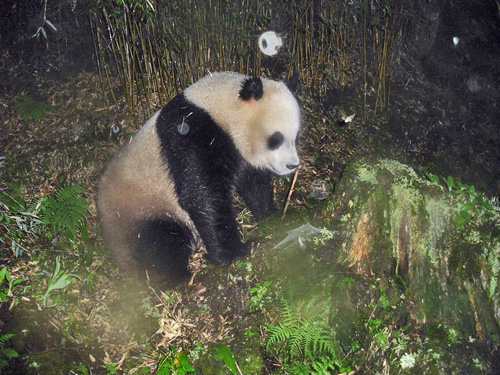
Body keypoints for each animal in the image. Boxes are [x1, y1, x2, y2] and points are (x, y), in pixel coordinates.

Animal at [97, 72, 300, 284]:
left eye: (295, 137)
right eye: (276, 139)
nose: (292, 165)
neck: (220, 108)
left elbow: (254, 182)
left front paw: (273, 216)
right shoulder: (191, 135)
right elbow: (202, 196)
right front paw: (238, 251)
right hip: (141, 210)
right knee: (160, 242)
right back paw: (175, 278)